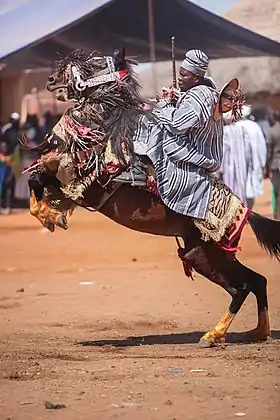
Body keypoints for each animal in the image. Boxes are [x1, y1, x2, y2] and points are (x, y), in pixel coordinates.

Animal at [24, 47, 280, 348]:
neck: (104, 132)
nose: (51, 80)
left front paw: (50, 215)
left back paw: (214, 334)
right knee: (255, 281)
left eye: (96, 63)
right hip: (200, 254)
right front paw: (49, 214)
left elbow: (38, 180)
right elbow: (36, 179)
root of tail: (244, 211)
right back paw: (256, 332)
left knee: (243, 287)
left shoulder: (85, 184)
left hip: (210, 252)